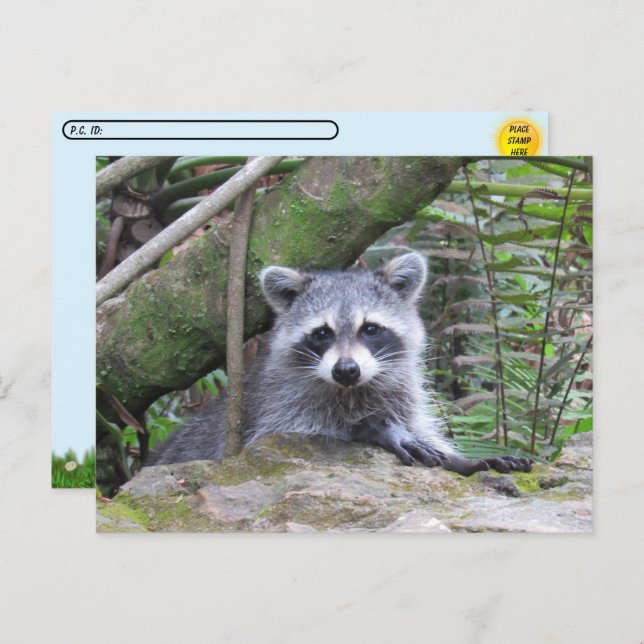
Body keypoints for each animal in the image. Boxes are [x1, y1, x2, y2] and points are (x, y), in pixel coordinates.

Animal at [147, 252, 531, 476]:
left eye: (370, 329)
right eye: (322, 333)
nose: (346, 370)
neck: (353, 390)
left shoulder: (401, 393)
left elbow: (420, 428)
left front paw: (461, 459)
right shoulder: (275, 403)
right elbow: (288, 433)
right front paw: (373, 427)